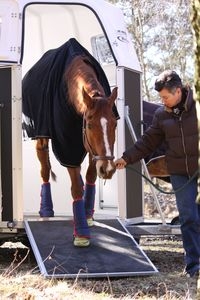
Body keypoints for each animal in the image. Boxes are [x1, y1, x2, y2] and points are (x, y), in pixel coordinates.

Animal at [22, 38, 119, 247]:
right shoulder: (67, 147)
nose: (108, 169)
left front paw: (88, 215)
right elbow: (75, 187)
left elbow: (90, 176)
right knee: (45, 168)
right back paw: (46, 209)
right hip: (41, 136)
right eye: (90, 124)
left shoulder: (92, 150)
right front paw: (81, 234)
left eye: (115, 123)